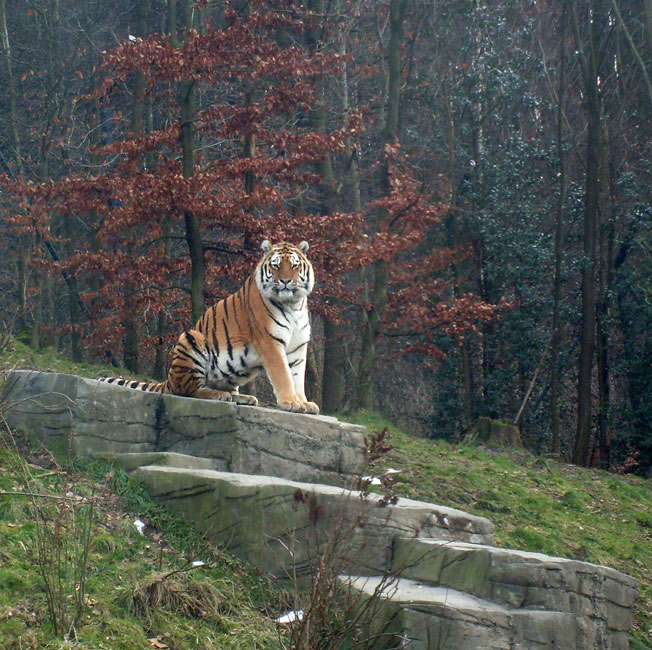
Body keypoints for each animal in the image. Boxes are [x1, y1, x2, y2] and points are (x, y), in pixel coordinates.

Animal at [96, 240, 318, 412]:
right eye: (276, 266)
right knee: (188, 390)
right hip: (191, 339)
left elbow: (297, 377)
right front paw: (290, 402)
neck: (293, 305)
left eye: (295, 266)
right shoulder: (270, 343)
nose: (286, 281)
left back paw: (242, 397)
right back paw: (216, 394)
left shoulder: (298, 348)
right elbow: (283, 375)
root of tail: (169, 379)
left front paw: (304, 403)